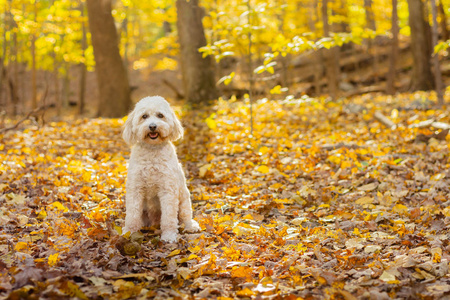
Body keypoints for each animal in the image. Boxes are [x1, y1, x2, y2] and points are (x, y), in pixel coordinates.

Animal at [123, 96, 200, 241]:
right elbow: (132, 214)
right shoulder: (135, 188)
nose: (153, 126)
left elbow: (169, 217)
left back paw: (190, 226)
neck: (152, 150)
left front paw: (169, 235)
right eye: (144, 116)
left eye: (160, 115)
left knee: (185, 216)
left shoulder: (168, 189)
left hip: (184, 199)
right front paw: (129, 232)